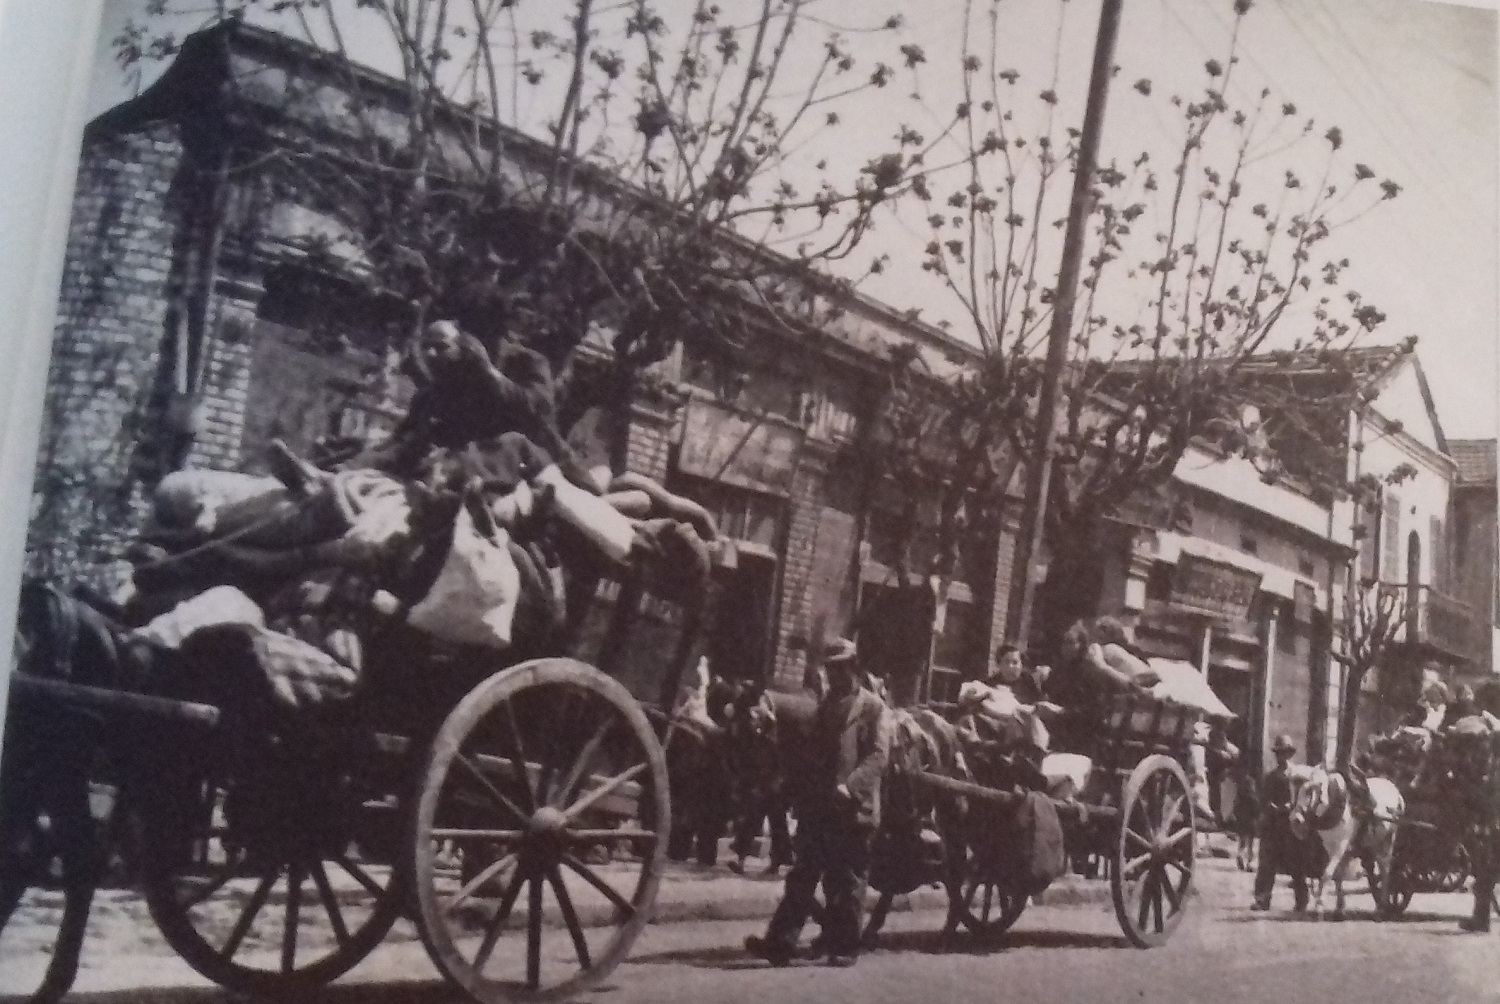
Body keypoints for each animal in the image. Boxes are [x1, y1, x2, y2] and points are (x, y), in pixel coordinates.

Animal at [1290, 762, 1404, 918]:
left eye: (1310, 790)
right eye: (1293, 788)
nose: (1296, 821)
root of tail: (1394, 788)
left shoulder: (1341, 845)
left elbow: (1327, 874)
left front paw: (1320, 906)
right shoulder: (1330, 845)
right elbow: (1337, 874)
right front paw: (1339, 908)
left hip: (1387, 840)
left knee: (1385, 868)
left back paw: (1382, 906)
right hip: (1368, 843)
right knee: (1371, 869)